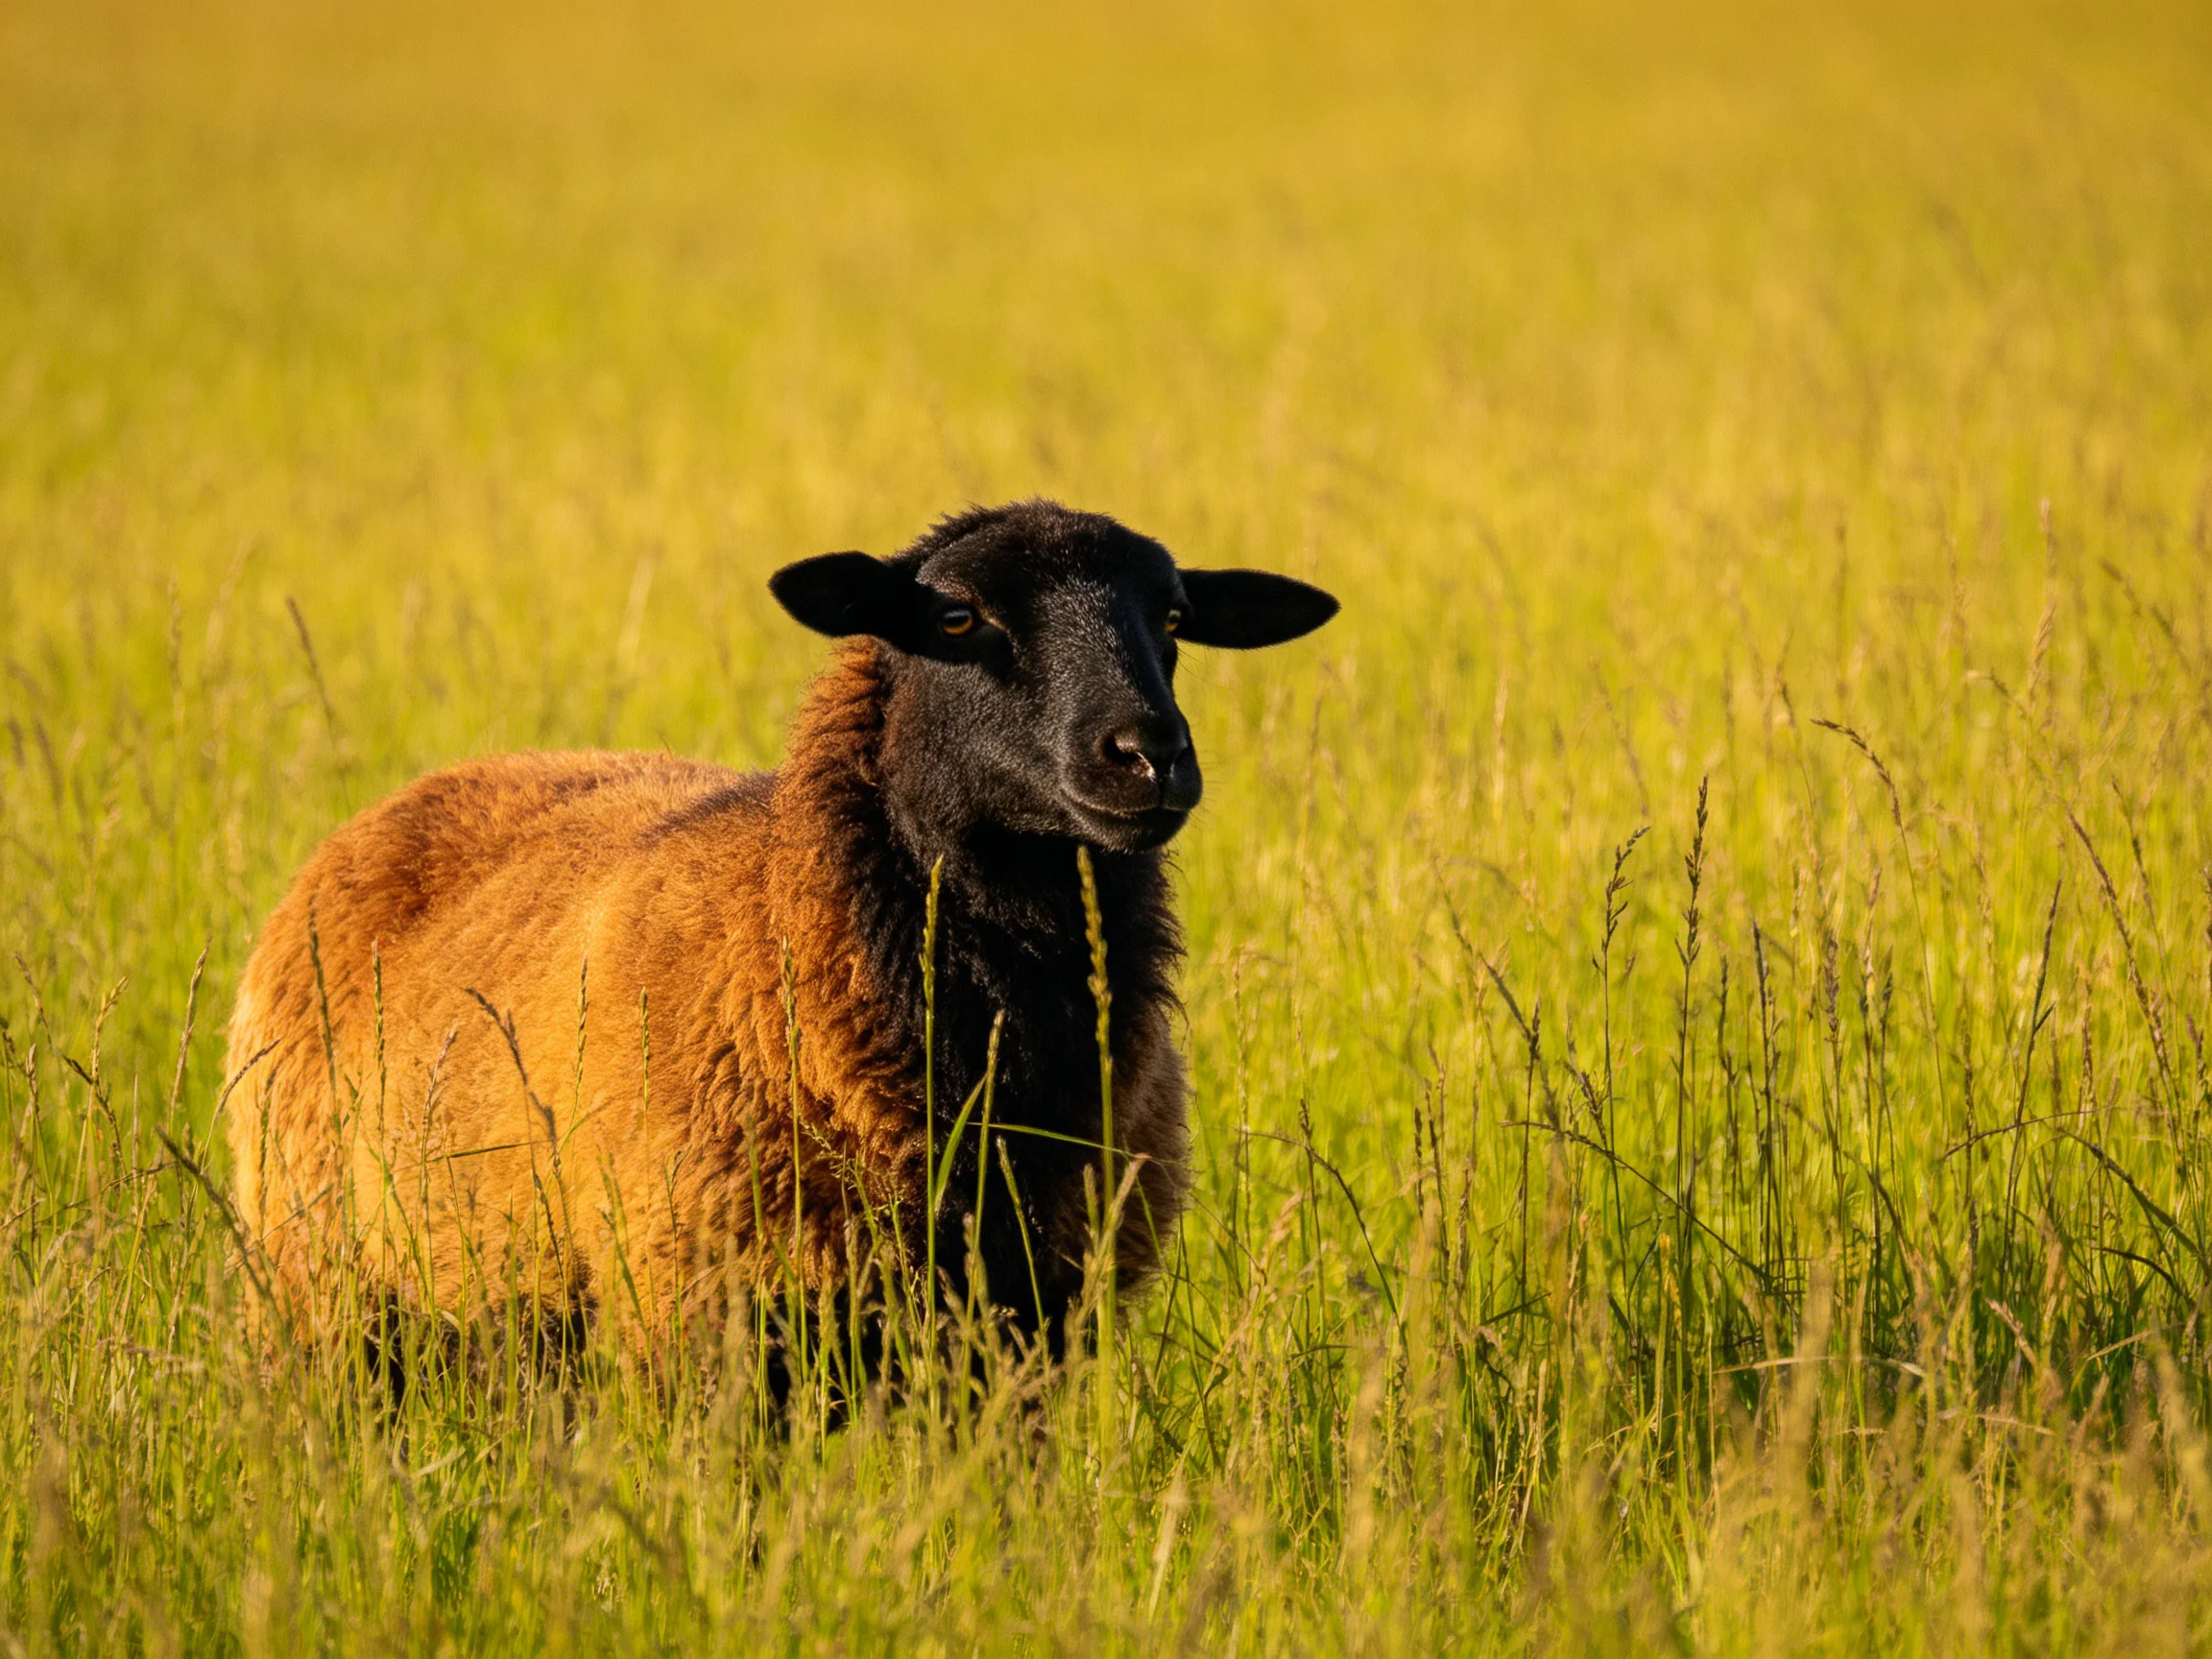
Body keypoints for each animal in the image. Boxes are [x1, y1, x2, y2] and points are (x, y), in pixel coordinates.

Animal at [224, 499, 1337, 1362]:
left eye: (1175, 617)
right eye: (956, 615)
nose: (1149, 756)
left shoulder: (1032, 1328)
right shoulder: (693, 1320)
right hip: (321, 1289)